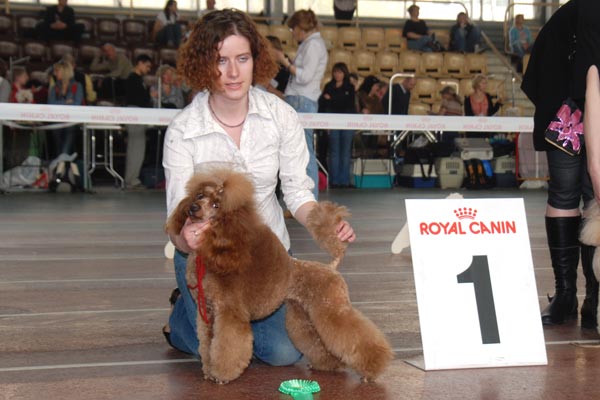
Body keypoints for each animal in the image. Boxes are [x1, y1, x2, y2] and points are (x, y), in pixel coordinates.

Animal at [165, 169, 393, 384]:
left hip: (330, 308)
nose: (193, 208)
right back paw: (328, 364)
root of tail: (332, 267)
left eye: (215, 205)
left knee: (355, 336)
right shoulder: (208, 313)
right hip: (304, 315)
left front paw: (222, 375)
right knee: (318, 340)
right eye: (200, 195)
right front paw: (209, 372)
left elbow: (226, 346)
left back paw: (372, 370)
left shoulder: (229, 312)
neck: (214, 254)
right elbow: (207, 344)